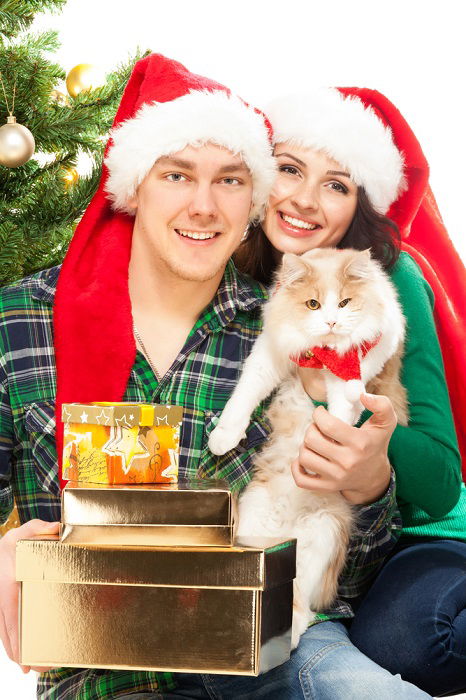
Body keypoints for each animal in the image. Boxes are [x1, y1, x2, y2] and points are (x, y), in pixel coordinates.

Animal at [208, 249, 408, 648]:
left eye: (344, 302)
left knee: (303, 610)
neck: (321, 354)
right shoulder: (271, 353)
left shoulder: (373, 348)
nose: (330, 322)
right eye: (312, 304)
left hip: (323, 534)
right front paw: (223, 436)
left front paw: (325, 446)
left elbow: (343, 403)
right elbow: (243, 395)